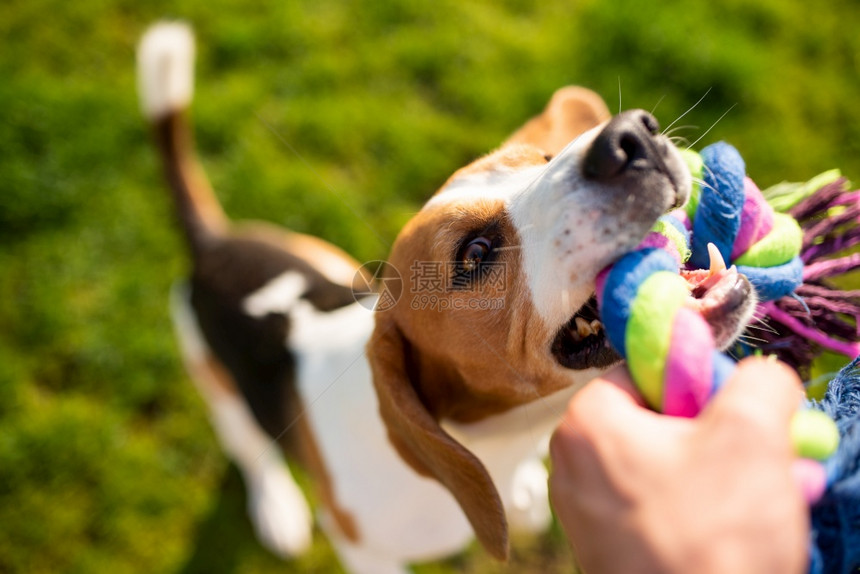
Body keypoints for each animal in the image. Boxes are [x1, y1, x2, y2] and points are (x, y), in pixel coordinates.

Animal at [138, 22, 756, 574]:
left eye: (541, 159)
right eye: (474, 253)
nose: (631, 136)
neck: (502, 439)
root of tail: (212, 243)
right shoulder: (362, 549)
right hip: (211, 376)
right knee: (249, 446)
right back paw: (276, 507)